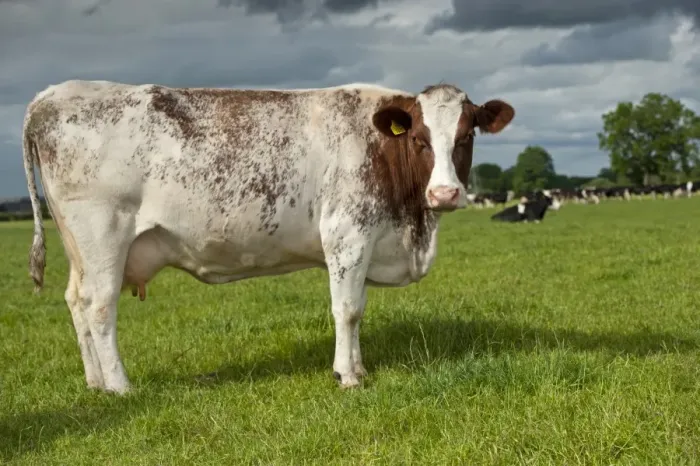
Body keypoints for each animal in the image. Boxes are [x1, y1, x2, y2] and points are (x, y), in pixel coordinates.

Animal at [22, 80, 515, 394]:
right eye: (419, 138)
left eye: (466, 136)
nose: (445, 193)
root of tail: (52, 95)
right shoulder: (347, 234)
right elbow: (348, 310)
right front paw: (347, 375)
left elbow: (357, 310)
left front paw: (357, 366)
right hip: (103, 236)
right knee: (99, 307)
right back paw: (121, 386)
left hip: (78, 247)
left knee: (75, 301)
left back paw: (95, 383)